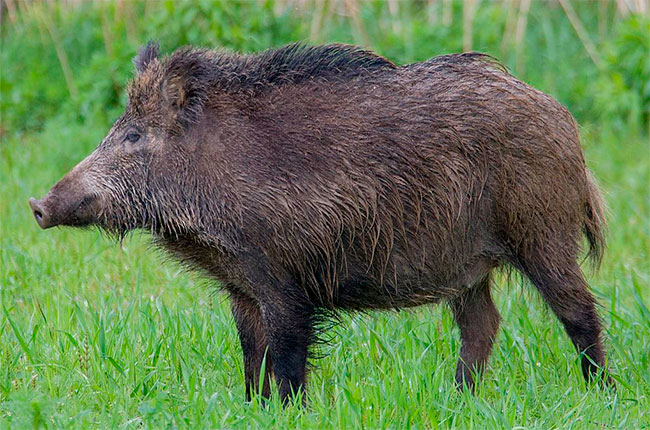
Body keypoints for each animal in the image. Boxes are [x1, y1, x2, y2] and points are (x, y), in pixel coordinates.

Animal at [29, 42, 611, 403]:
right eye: (115, 128)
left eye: (133, 136)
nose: (37, 205)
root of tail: (561, 118)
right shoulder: (242, 285)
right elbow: (251, 354)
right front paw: (252, 408)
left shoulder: (285, 280)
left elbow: (287, 358)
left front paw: (289, 411)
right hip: (467, 264)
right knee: (483, 324)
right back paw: (459, 398)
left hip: (541, 231)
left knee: (578, 310)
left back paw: (600, 390)